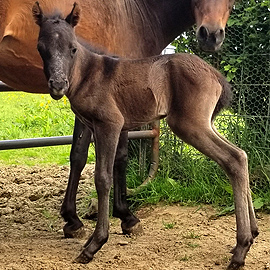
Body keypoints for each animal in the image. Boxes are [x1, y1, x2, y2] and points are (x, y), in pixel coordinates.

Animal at [0, 0, 235, 236]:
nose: (211, 35)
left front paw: (73, 220)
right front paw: (125, 216)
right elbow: (118, 157)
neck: (136, 12)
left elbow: (79, 155)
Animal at [33, 3, 258, 268]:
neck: (87, 73)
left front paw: (94, 244)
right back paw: (251, 235)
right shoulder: (96, 126)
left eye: (73, 48)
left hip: (189, 124)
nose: (58, 85)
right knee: (241, 155)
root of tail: (215, 75)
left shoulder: (110, 124)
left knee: (233, 158)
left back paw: (241, 249)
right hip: (205, 123)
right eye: (41, 48)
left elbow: (102, 178)